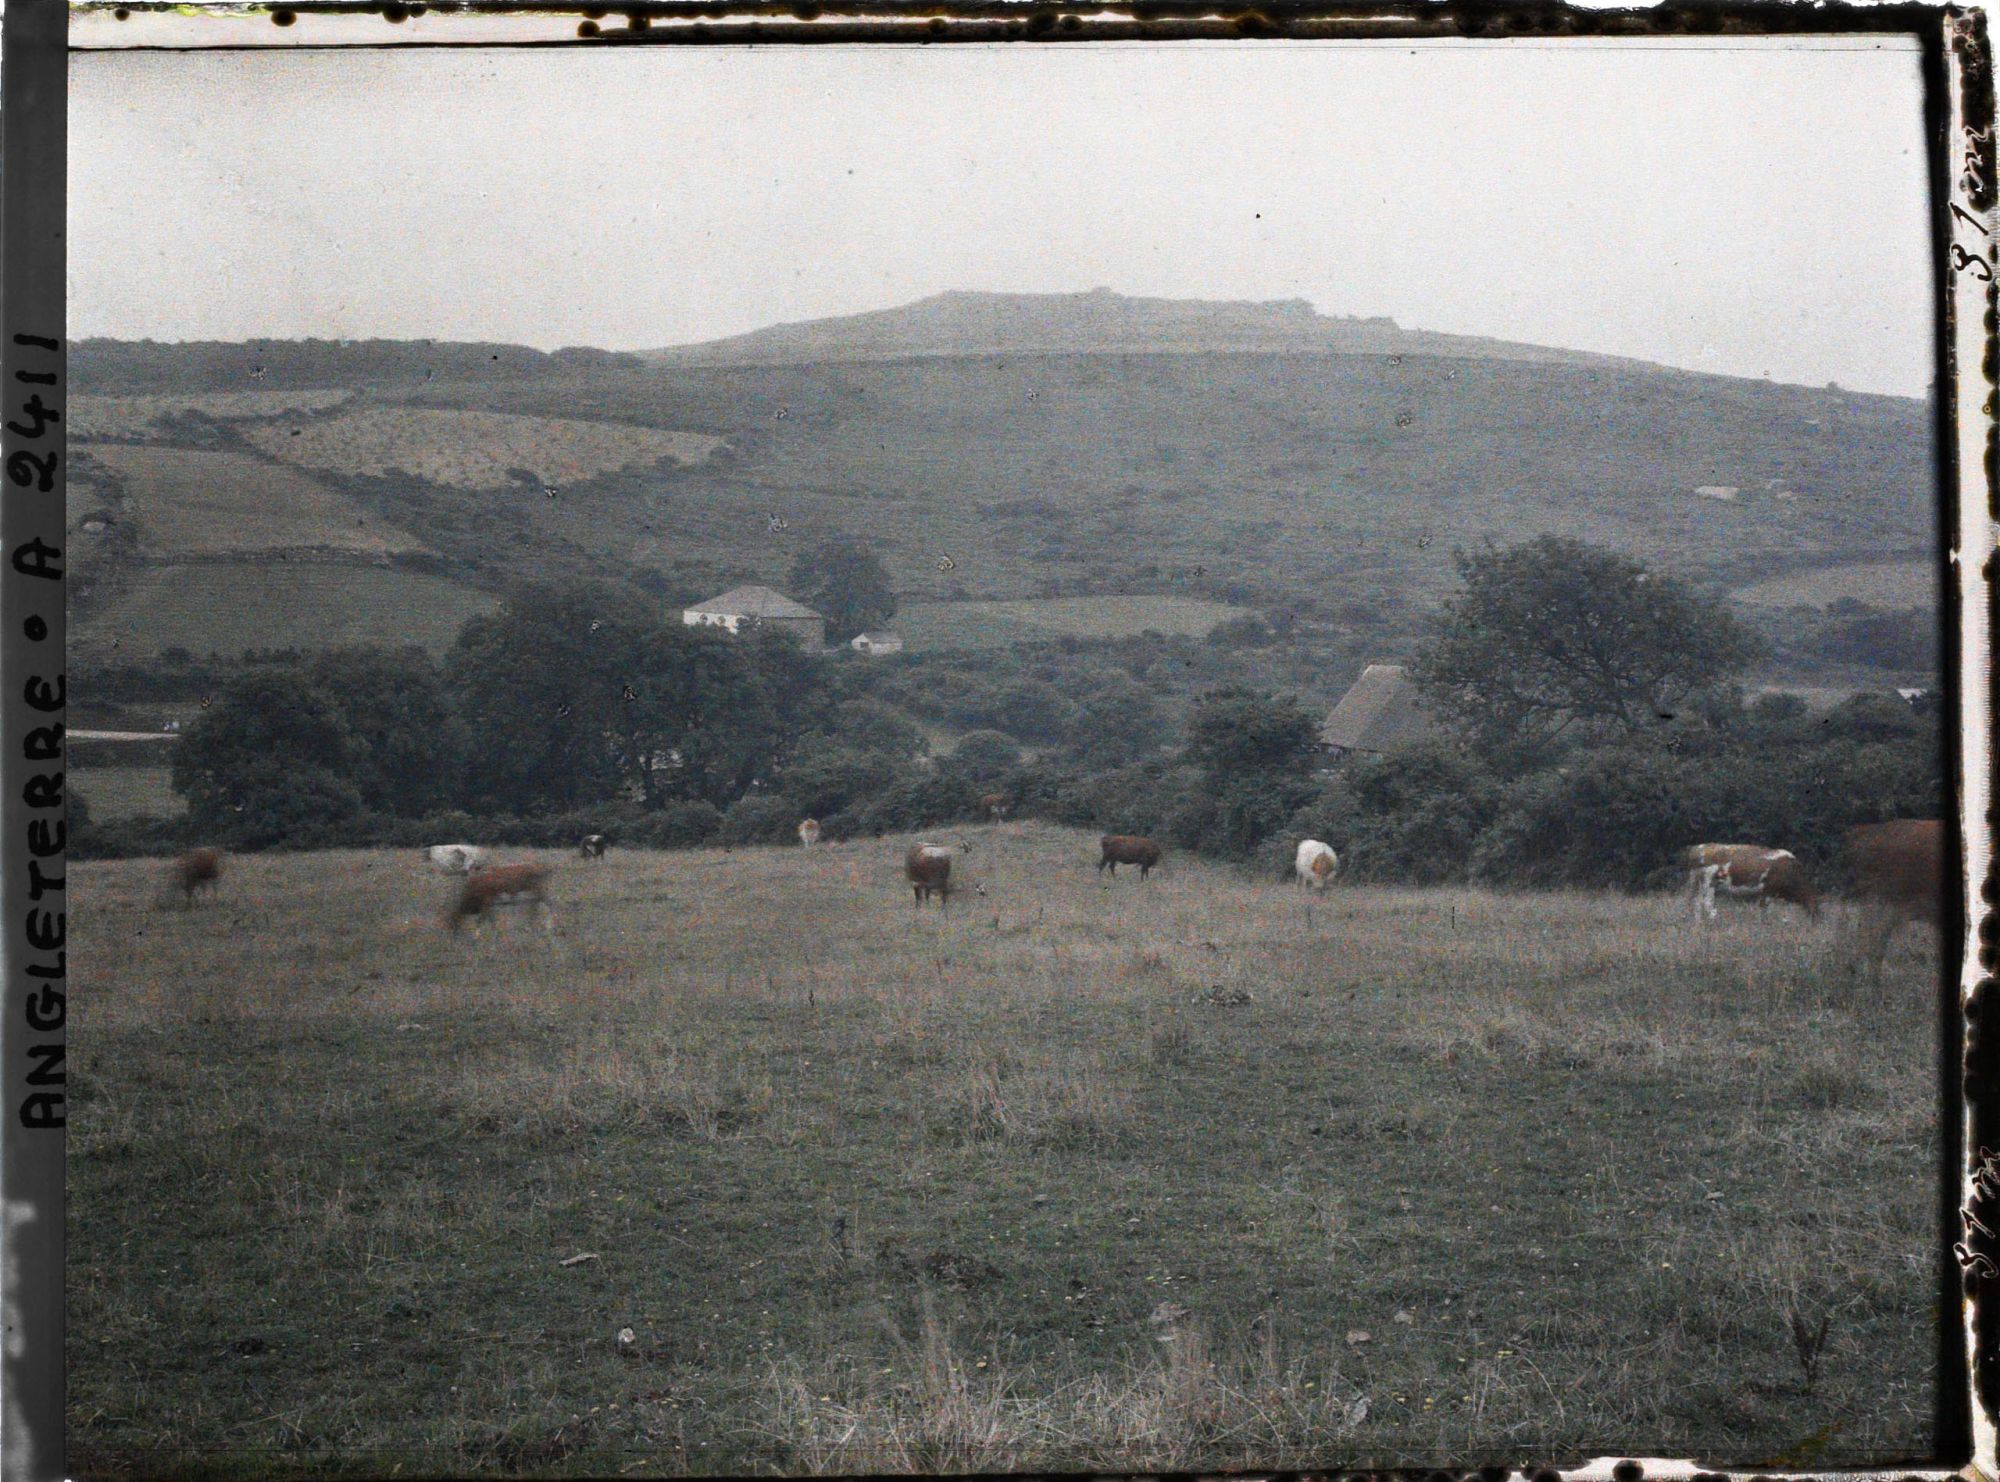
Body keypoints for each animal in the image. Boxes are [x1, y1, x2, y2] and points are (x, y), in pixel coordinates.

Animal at [1683, 843, 1821, 922]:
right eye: (1816, 908)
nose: (1816, 922)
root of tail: (1698, 847)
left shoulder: (1766, 893)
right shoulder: (1768, 890)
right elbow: (1764, 910)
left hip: (1701, 883)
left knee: (1697, 902)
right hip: (1708, 881)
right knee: (1706, 903)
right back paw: (1712, 921)